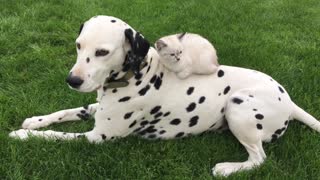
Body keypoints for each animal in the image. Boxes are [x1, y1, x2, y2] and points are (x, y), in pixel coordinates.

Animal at [9, 15, 320, 176]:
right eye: (78, 45)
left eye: (102, 52)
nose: (72, 80)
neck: (139, 74)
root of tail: (290, 102)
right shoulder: (95, 109)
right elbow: (64, 113)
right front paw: (34, 120)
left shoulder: (97, 138)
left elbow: (55, 136)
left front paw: (22, 135)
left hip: (239, 106)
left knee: (259, 159)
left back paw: (227, 168)